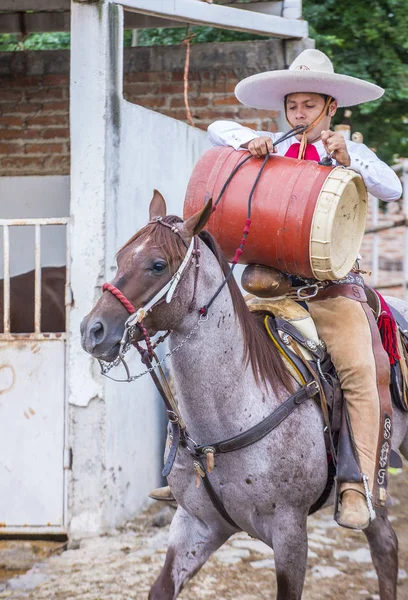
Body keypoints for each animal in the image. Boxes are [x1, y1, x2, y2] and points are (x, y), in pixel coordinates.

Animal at [79, 191, 408, 600]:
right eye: (121, 257)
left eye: (157, 264)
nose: (92, 330)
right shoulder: (196, 524)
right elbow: (161, 588)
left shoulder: (289, 532)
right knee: (384, 545)